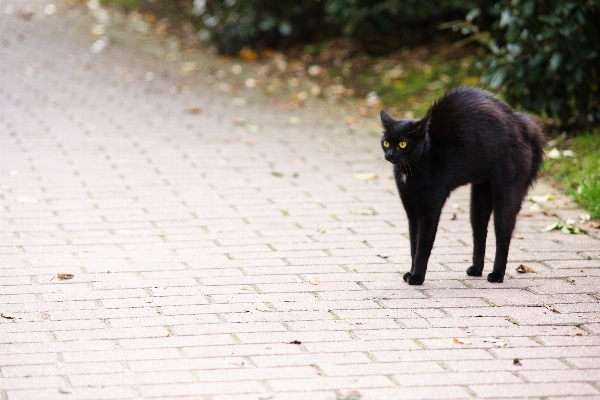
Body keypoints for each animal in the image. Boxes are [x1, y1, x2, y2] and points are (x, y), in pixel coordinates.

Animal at [382, 87, 548, 284]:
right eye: (386, 143)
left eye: (402, 144)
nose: (390, 155)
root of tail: (523, 125)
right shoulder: (411, 210)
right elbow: (413, 244)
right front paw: (411, 272)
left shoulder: (429, 210)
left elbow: (422, 245)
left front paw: (417, 277)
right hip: (480, 195)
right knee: (480, 232)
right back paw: (476, 269)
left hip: (507, 192)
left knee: (503, 233)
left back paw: (497, 275)